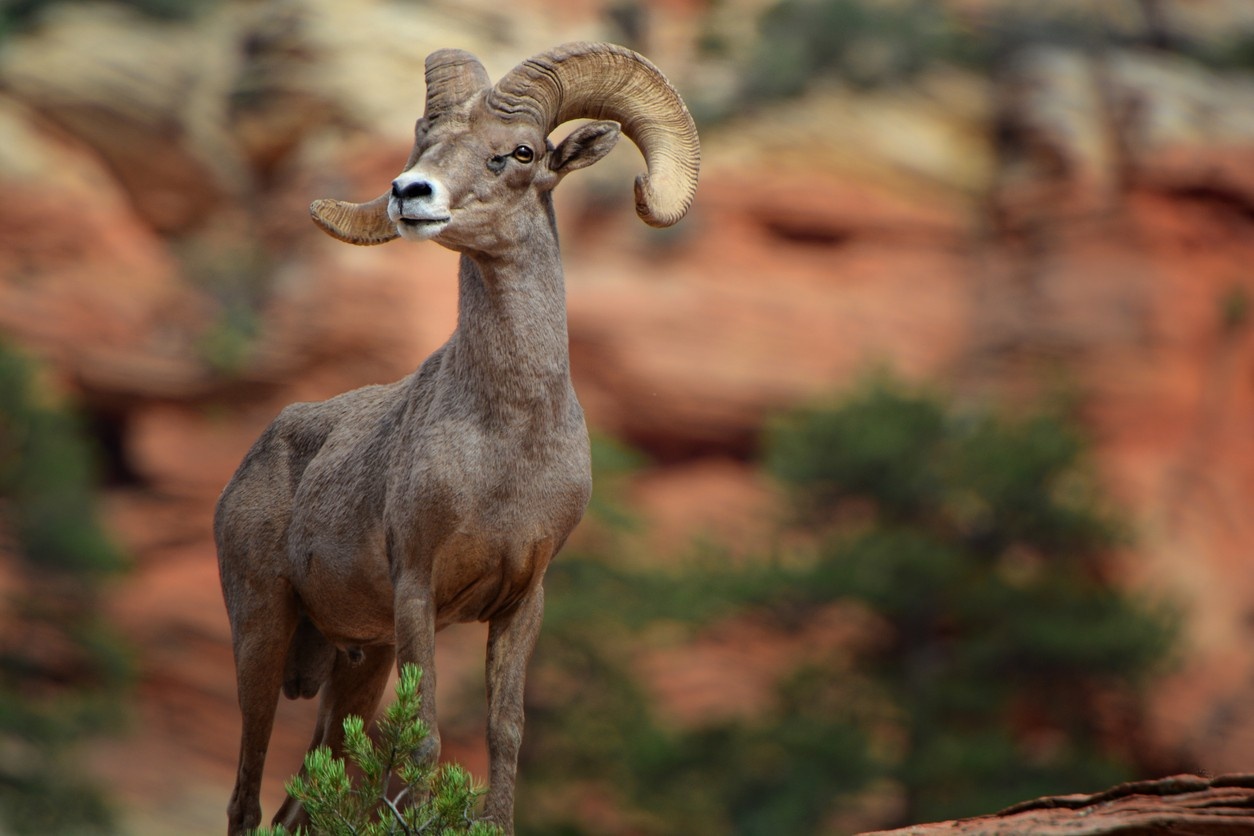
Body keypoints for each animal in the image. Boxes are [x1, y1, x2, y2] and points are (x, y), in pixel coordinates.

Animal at [219, 40, 702, 836]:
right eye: (426, 140)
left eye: (521, 152)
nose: (408, 193)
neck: (506, 447)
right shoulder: (417, 589)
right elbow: (426, 739)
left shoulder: (521, 602)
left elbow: (505, 733)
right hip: (262, 635)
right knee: (246, 798)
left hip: (358, 663)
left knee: (298, 803)